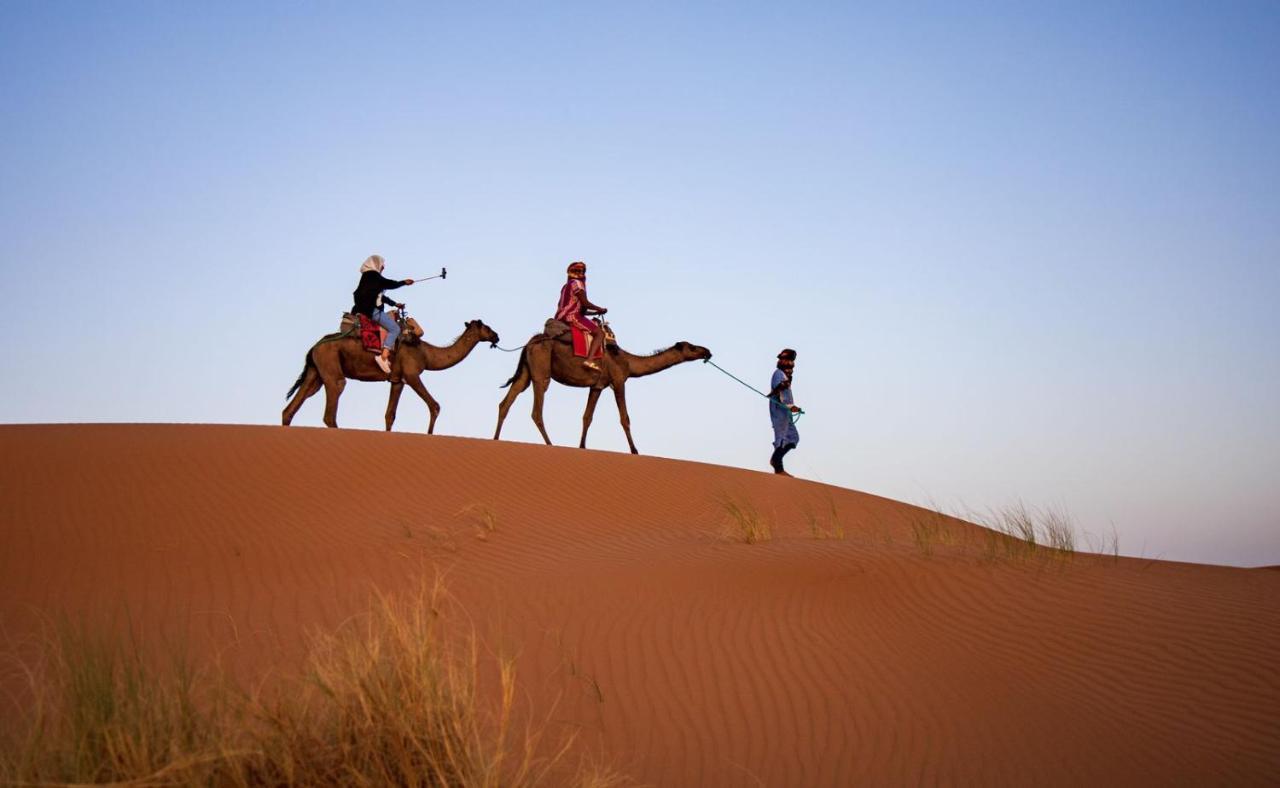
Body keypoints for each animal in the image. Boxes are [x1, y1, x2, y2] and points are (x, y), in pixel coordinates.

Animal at [284, 318, 499, 434]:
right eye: (486, 327)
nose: (496, 336)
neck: (427, 353)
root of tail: (313, 348)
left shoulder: (397, 380)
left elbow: (390, 415)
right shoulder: (412, 374)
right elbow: (434, 406)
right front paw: (429, 434)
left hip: (315, 373)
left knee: (292, 407)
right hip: (331, 369)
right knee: (332, 405)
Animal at [491, 335, 711, 455]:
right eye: (692, 347)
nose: (707, 351)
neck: (629, 362)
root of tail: (529, 344)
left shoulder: (597, 386)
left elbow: (587, 417)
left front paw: (582, 446)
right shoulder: (619, 381)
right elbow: (625, 418)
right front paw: (635, 451)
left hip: (526, 372)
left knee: (507, 400)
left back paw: (495, 439)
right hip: (541, 370)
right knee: (536, 410)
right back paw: (550, 444)